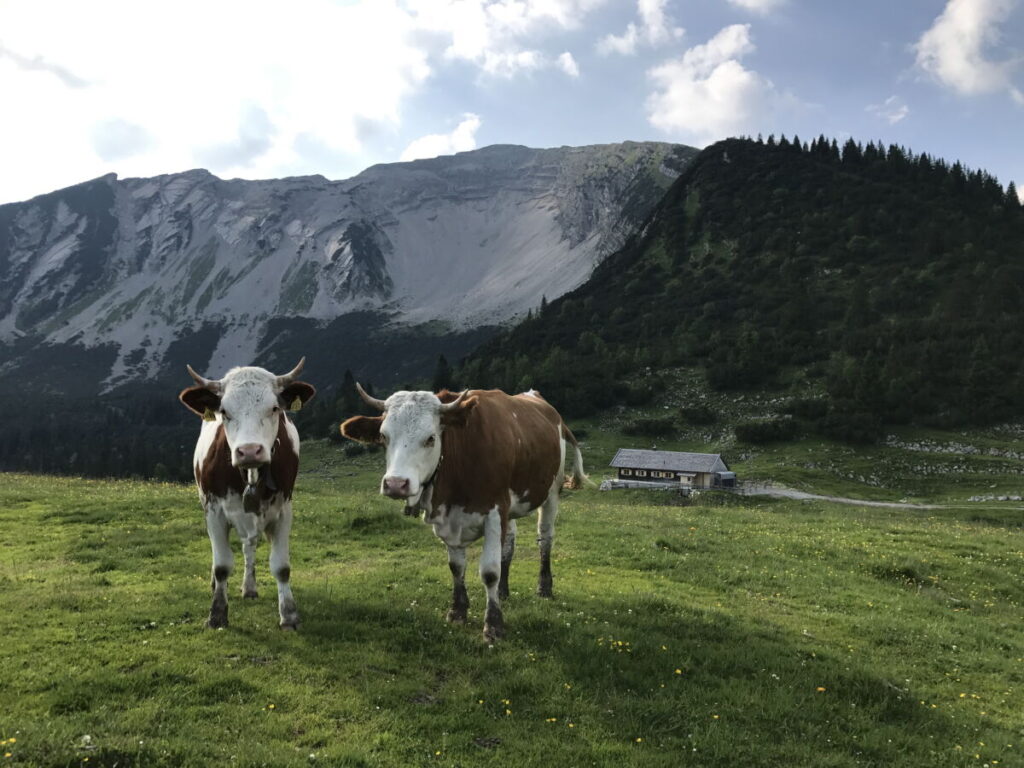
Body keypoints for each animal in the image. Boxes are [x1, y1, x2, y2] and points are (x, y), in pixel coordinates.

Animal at [180, 360, 313, 630]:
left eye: (274, 408)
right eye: (224, 411)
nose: (249, 450)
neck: (251, 474)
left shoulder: (284, 510)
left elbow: (281, 567)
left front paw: (289, 615)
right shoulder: (213, 511)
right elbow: (221, 565)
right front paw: (217, 614)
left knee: (248, 545)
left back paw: (249, 587)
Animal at [342, 385, 585, 643]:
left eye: (431, 438)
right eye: (383, 437)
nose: (396, 484)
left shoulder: (495, 511)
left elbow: (489, 571)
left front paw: (493, 625)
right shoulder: (452, 519)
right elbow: (456, 567)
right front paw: (457, 611)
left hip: (551, 492)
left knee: (545, 537)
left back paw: (544, 587)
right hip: (511, 507)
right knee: (509, 543)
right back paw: (503, 591)